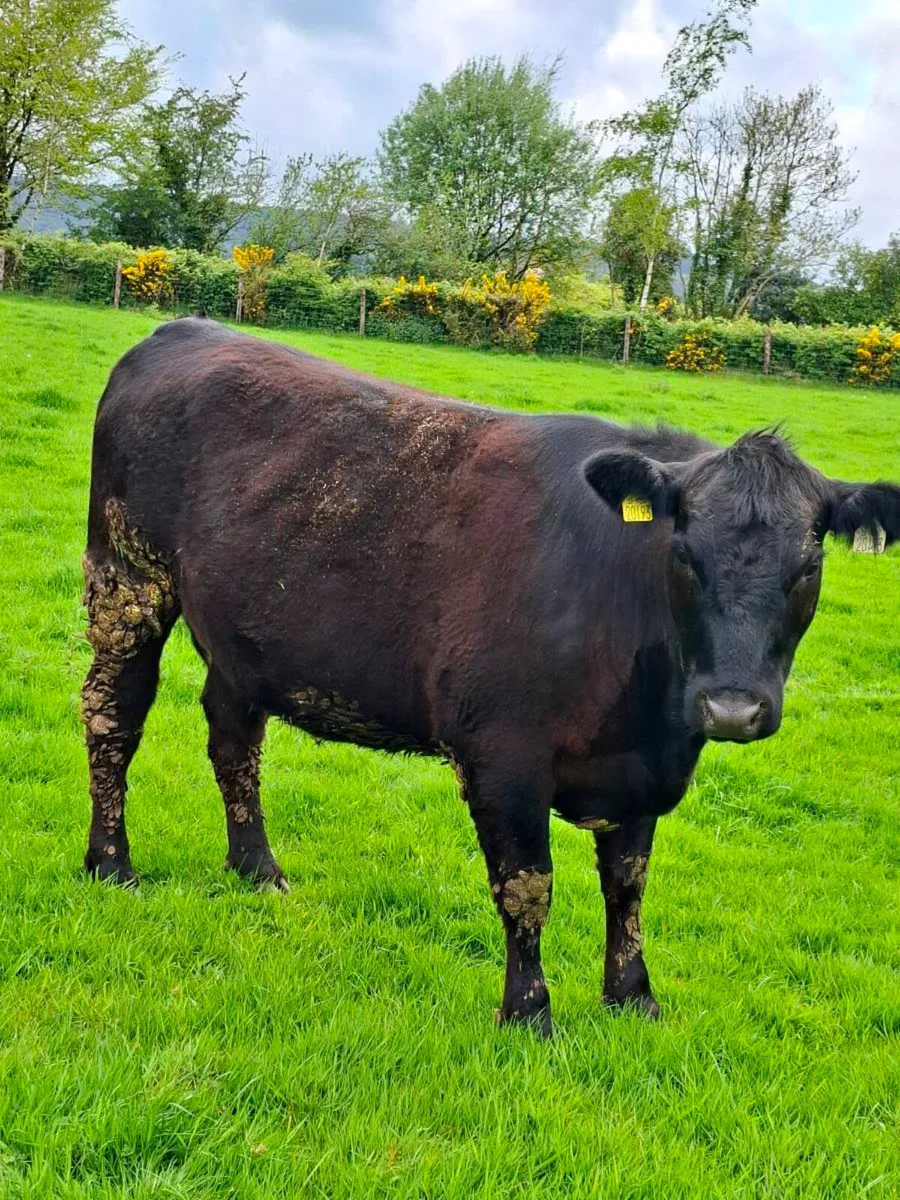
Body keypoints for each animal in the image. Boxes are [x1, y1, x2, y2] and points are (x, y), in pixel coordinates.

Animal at [81, 317, 900, 1036]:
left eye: (810, 562)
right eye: (683, 552)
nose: (731, 708)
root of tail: (182, 330)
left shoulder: (643, 768)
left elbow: (627, 884)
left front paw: (633, 998)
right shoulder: (502, 756)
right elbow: (527, 888)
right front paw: (530, 1013)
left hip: (244, 638)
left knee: (234, 739)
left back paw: (257, 869)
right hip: (127, 581)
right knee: (112, 716)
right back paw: (112, 864)